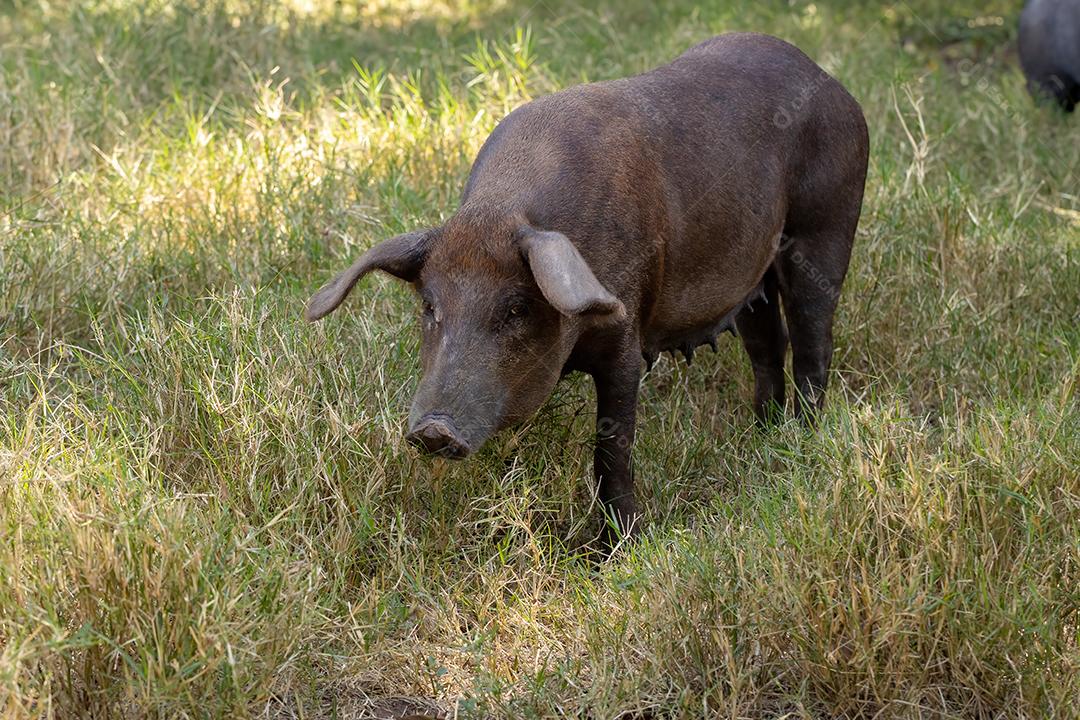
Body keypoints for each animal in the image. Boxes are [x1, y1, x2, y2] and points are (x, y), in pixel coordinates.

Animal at [306, 33, 869, 545]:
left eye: (515, 308)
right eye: (429, 305)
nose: (433, 430)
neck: (501, 210)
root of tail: (830, 80)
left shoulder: (626, 331)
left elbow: (612, 448)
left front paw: (619, 550)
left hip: (827, 223)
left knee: (814, 340)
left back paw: (803, 439)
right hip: (752, 273)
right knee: (767, 345)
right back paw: (764, 433)